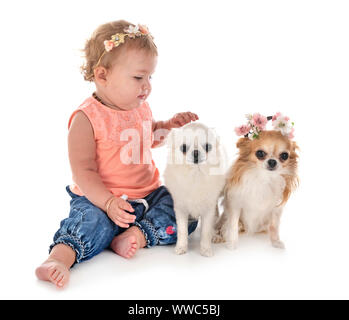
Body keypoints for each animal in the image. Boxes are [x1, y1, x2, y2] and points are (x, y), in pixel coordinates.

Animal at [162, 122, 226, 258]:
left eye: (207, 147)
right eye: (183, 148)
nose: (196, 152)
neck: (195, 175)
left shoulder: (208, 209)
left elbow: (206, 230)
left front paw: (206, 249)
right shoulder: (181, 209)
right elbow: (182, 230)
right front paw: (181, 247)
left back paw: (214, 235)